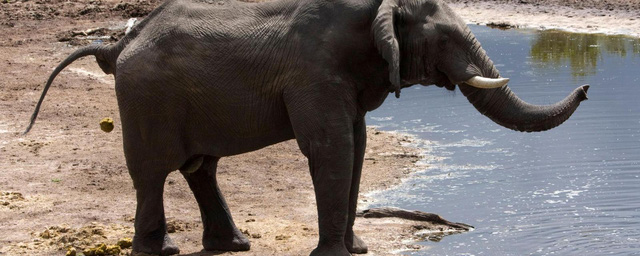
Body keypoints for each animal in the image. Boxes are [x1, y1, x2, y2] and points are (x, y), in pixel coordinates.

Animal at [26, 0, 592, 255]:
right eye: (446, 40)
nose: (587, 88)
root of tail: (117, 44)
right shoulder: (314, 75)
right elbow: (333, 150)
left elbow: (357, 147)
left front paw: (355, 251)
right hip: (147, 100)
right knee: (152, 172)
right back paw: (161, 252)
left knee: (199, 167)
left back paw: (234, 246)